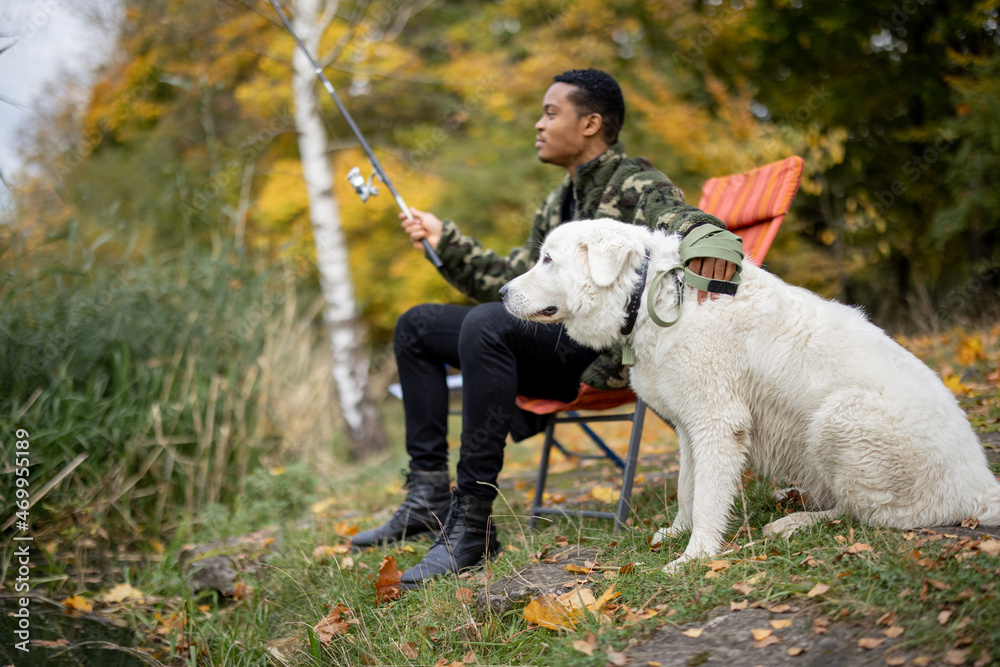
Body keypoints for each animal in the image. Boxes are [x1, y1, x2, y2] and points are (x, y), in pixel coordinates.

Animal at [504, 218, 1000, 568]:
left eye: (547, 260)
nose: (502, 292)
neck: (647, 295)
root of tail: (980, 488)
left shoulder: (717, 423)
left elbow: (707, 497)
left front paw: (695, 557)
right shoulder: (690, 427)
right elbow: (688, 487)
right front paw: (679, 533)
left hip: (841, 416)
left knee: (871, 515)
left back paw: (795, 523)